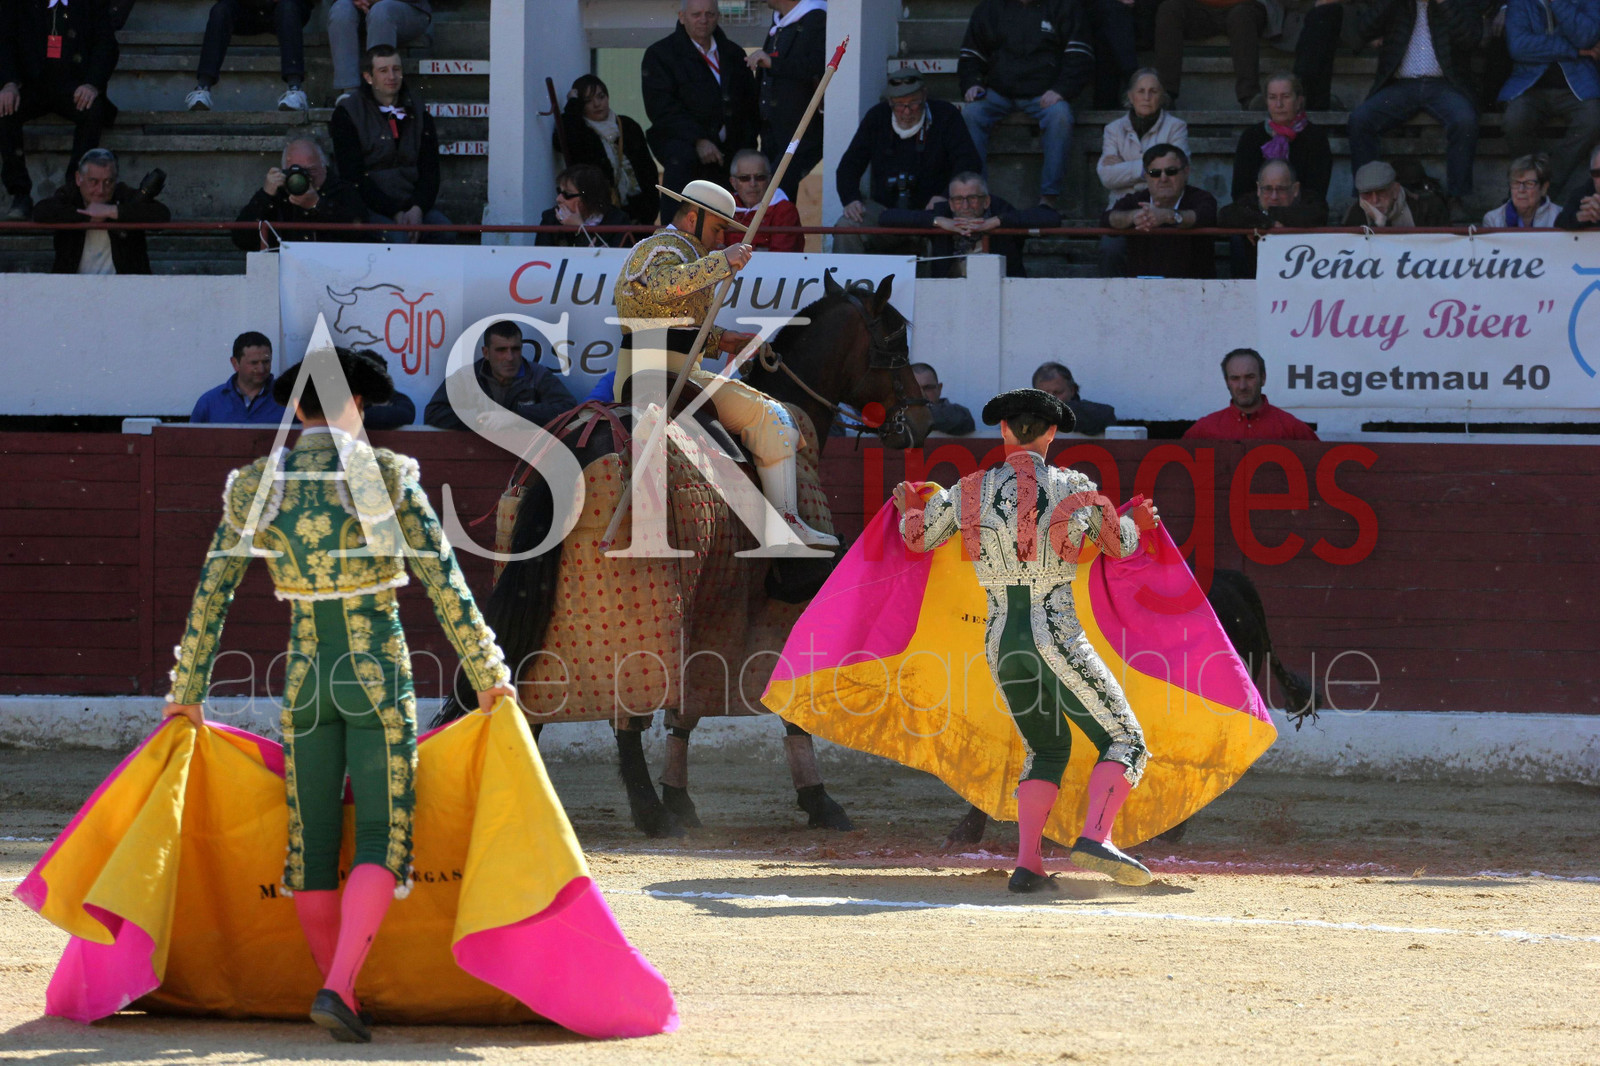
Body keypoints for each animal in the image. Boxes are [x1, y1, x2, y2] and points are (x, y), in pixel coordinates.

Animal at [434, 272, 932, 837]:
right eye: (895, 343)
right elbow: (784, 700)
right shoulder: (782, 599)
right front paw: (820, 801)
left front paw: (681, 796)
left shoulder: (712, 613)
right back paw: (649, 814)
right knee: (624, 715)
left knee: (532, 695)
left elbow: (688, 710)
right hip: (637, 615)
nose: (921, 423)